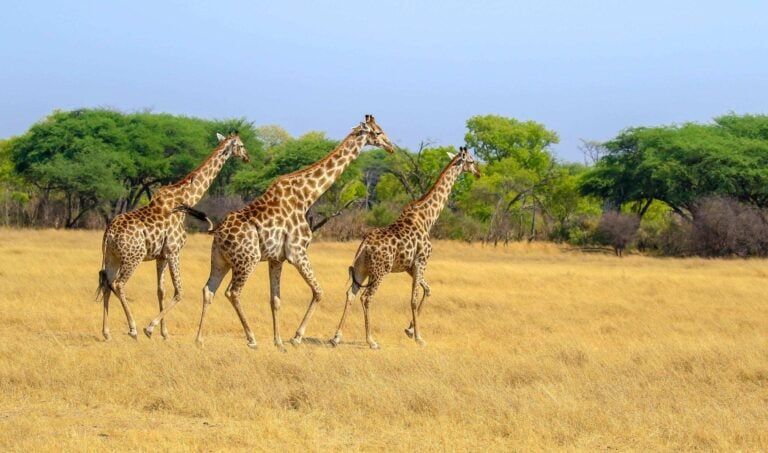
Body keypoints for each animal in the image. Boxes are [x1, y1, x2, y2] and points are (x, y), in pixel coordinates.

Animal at [97, 132, 249, 340]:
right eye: (241, 145)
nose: (247, 158)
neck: (186, 198)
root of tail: (109, 232)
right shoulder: (174, 251)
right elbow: (179, 291)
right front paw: (150, 328)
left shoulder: (161, 255)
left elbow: (161, 290)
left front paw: (164, 332)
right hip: (133, 257)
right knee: (119, 284)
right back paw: (133, 328)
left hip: (112, 257)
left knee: (107, 284)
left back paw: (106, 333)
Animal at [190, 115, 396, 348]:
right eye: (377, 132)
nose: (391, 147)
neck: (307, 195)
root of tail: (217, 233)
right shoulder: (297, 252)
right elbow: (318, 291)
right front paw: (297, 336)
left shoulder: (276, 258)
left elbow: (275, 299)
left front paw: (279, 341)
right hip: (247, 260)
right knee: (232, 292)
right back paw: (251, 339)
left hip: (220, 260)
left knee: (209, 290)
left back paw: (199, 338)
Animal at [328, 147, 480, 348]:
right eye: (471, 161)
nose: (478, 173)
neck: (427, 218)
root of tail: (364, 245)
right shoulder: (421, 261)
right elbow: (414, 299)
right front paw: (419, 338)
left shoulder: (410, 266)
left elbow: (427, 290)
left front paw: (409, 330)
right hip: (380, 271)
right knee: (366, 297)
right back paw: (371, 341)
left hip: (362, 269)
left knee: (351, 294)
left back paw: (336, 337)